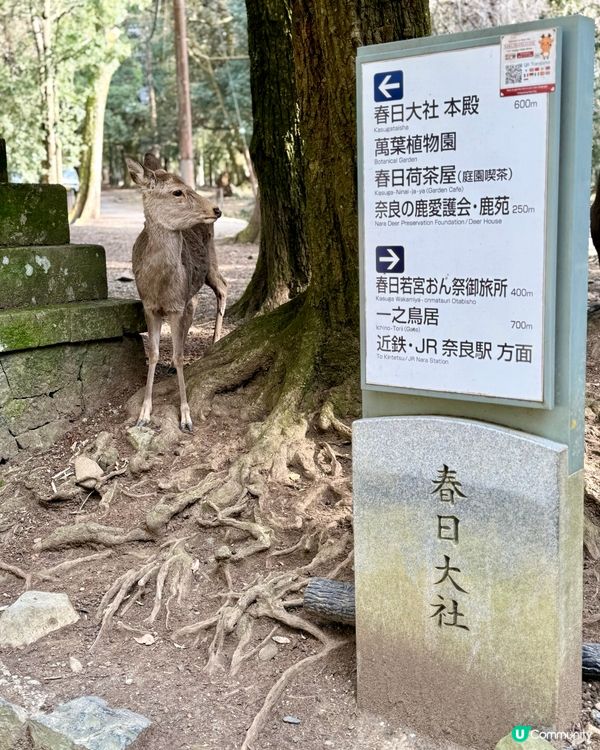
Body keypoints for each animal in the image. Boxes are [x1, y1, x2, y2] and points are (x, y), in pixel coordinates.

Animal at [126, 153, 227, 432]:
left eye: (189, 185)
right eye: (177, 192)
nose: (216, 209)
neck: (160, 286)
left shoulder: (175, 306)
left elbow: (181, 355)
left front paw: (186, 417)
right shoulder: (149, 306)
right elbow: (154, 354)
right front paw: (144, 414)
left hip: (210, 261)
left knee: (223, 286)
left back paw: (215, 341)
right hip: (192, 286)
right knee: (197, 303)